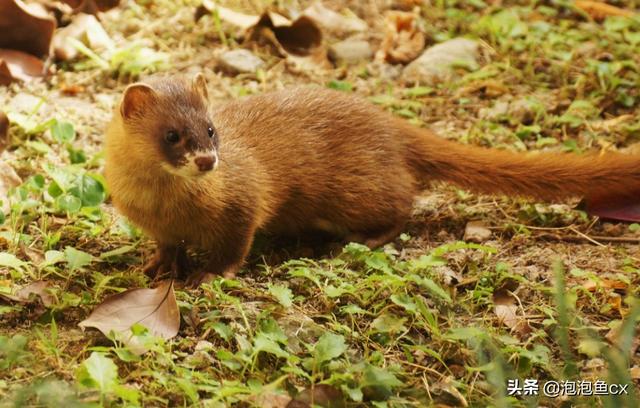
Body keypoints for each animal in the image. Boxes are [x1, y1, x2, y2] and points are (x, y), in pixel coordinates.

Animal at [105, 74, 640, 284]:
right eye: (172, 134)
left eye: (212, 128)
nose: (208, 161)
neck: (165, 205)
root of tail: (389, 123)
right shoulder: (154, 222)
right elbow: (166, 246)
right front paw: (157, 266)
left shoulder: (244, 203)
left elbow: (236, 245)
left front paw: (211, 274)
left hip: (354, 192)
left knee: (403, 204)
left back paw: (357, 242)